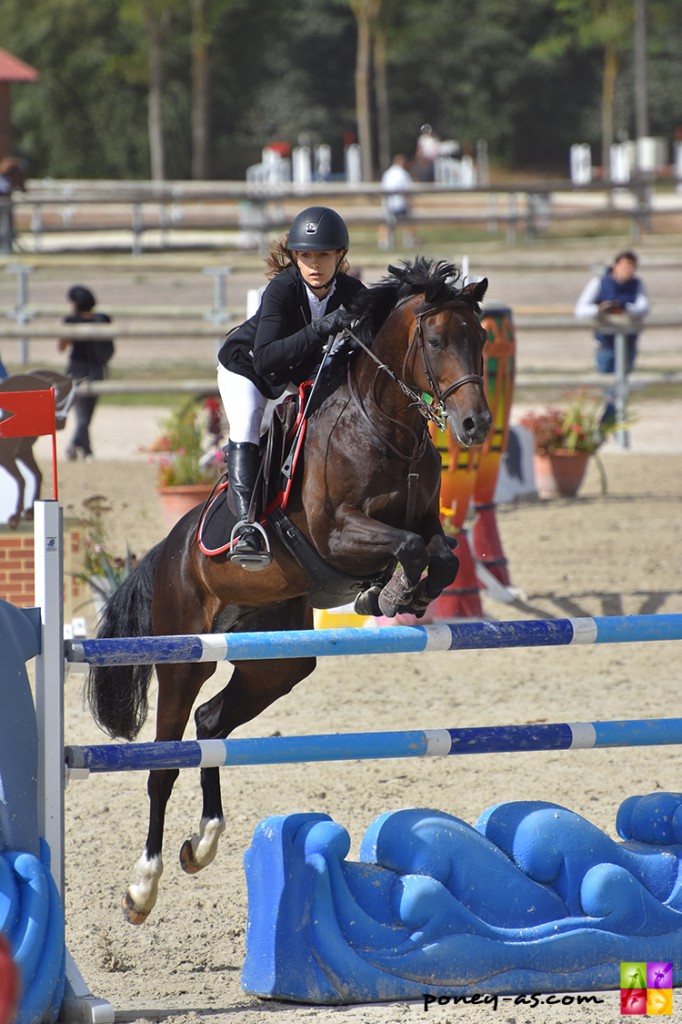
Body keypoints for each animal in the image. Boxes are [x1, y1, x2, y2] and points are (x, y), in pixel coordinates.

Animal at [86, 256, 489, 921]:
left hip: (277, 658)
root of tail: (166, 550)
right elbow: (409, 547)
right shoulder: (336, 534)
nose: (475, 424)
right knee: (165, 763)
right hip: (184, 657)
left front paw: (395, 596)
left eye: (479, 337)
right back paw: (142, 887)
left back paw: (203, 844)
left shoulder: (430, 525)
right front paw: (390, 592)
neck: (387, 427)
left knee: (212, 723)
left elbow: (442, 555)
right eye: (434, 342)